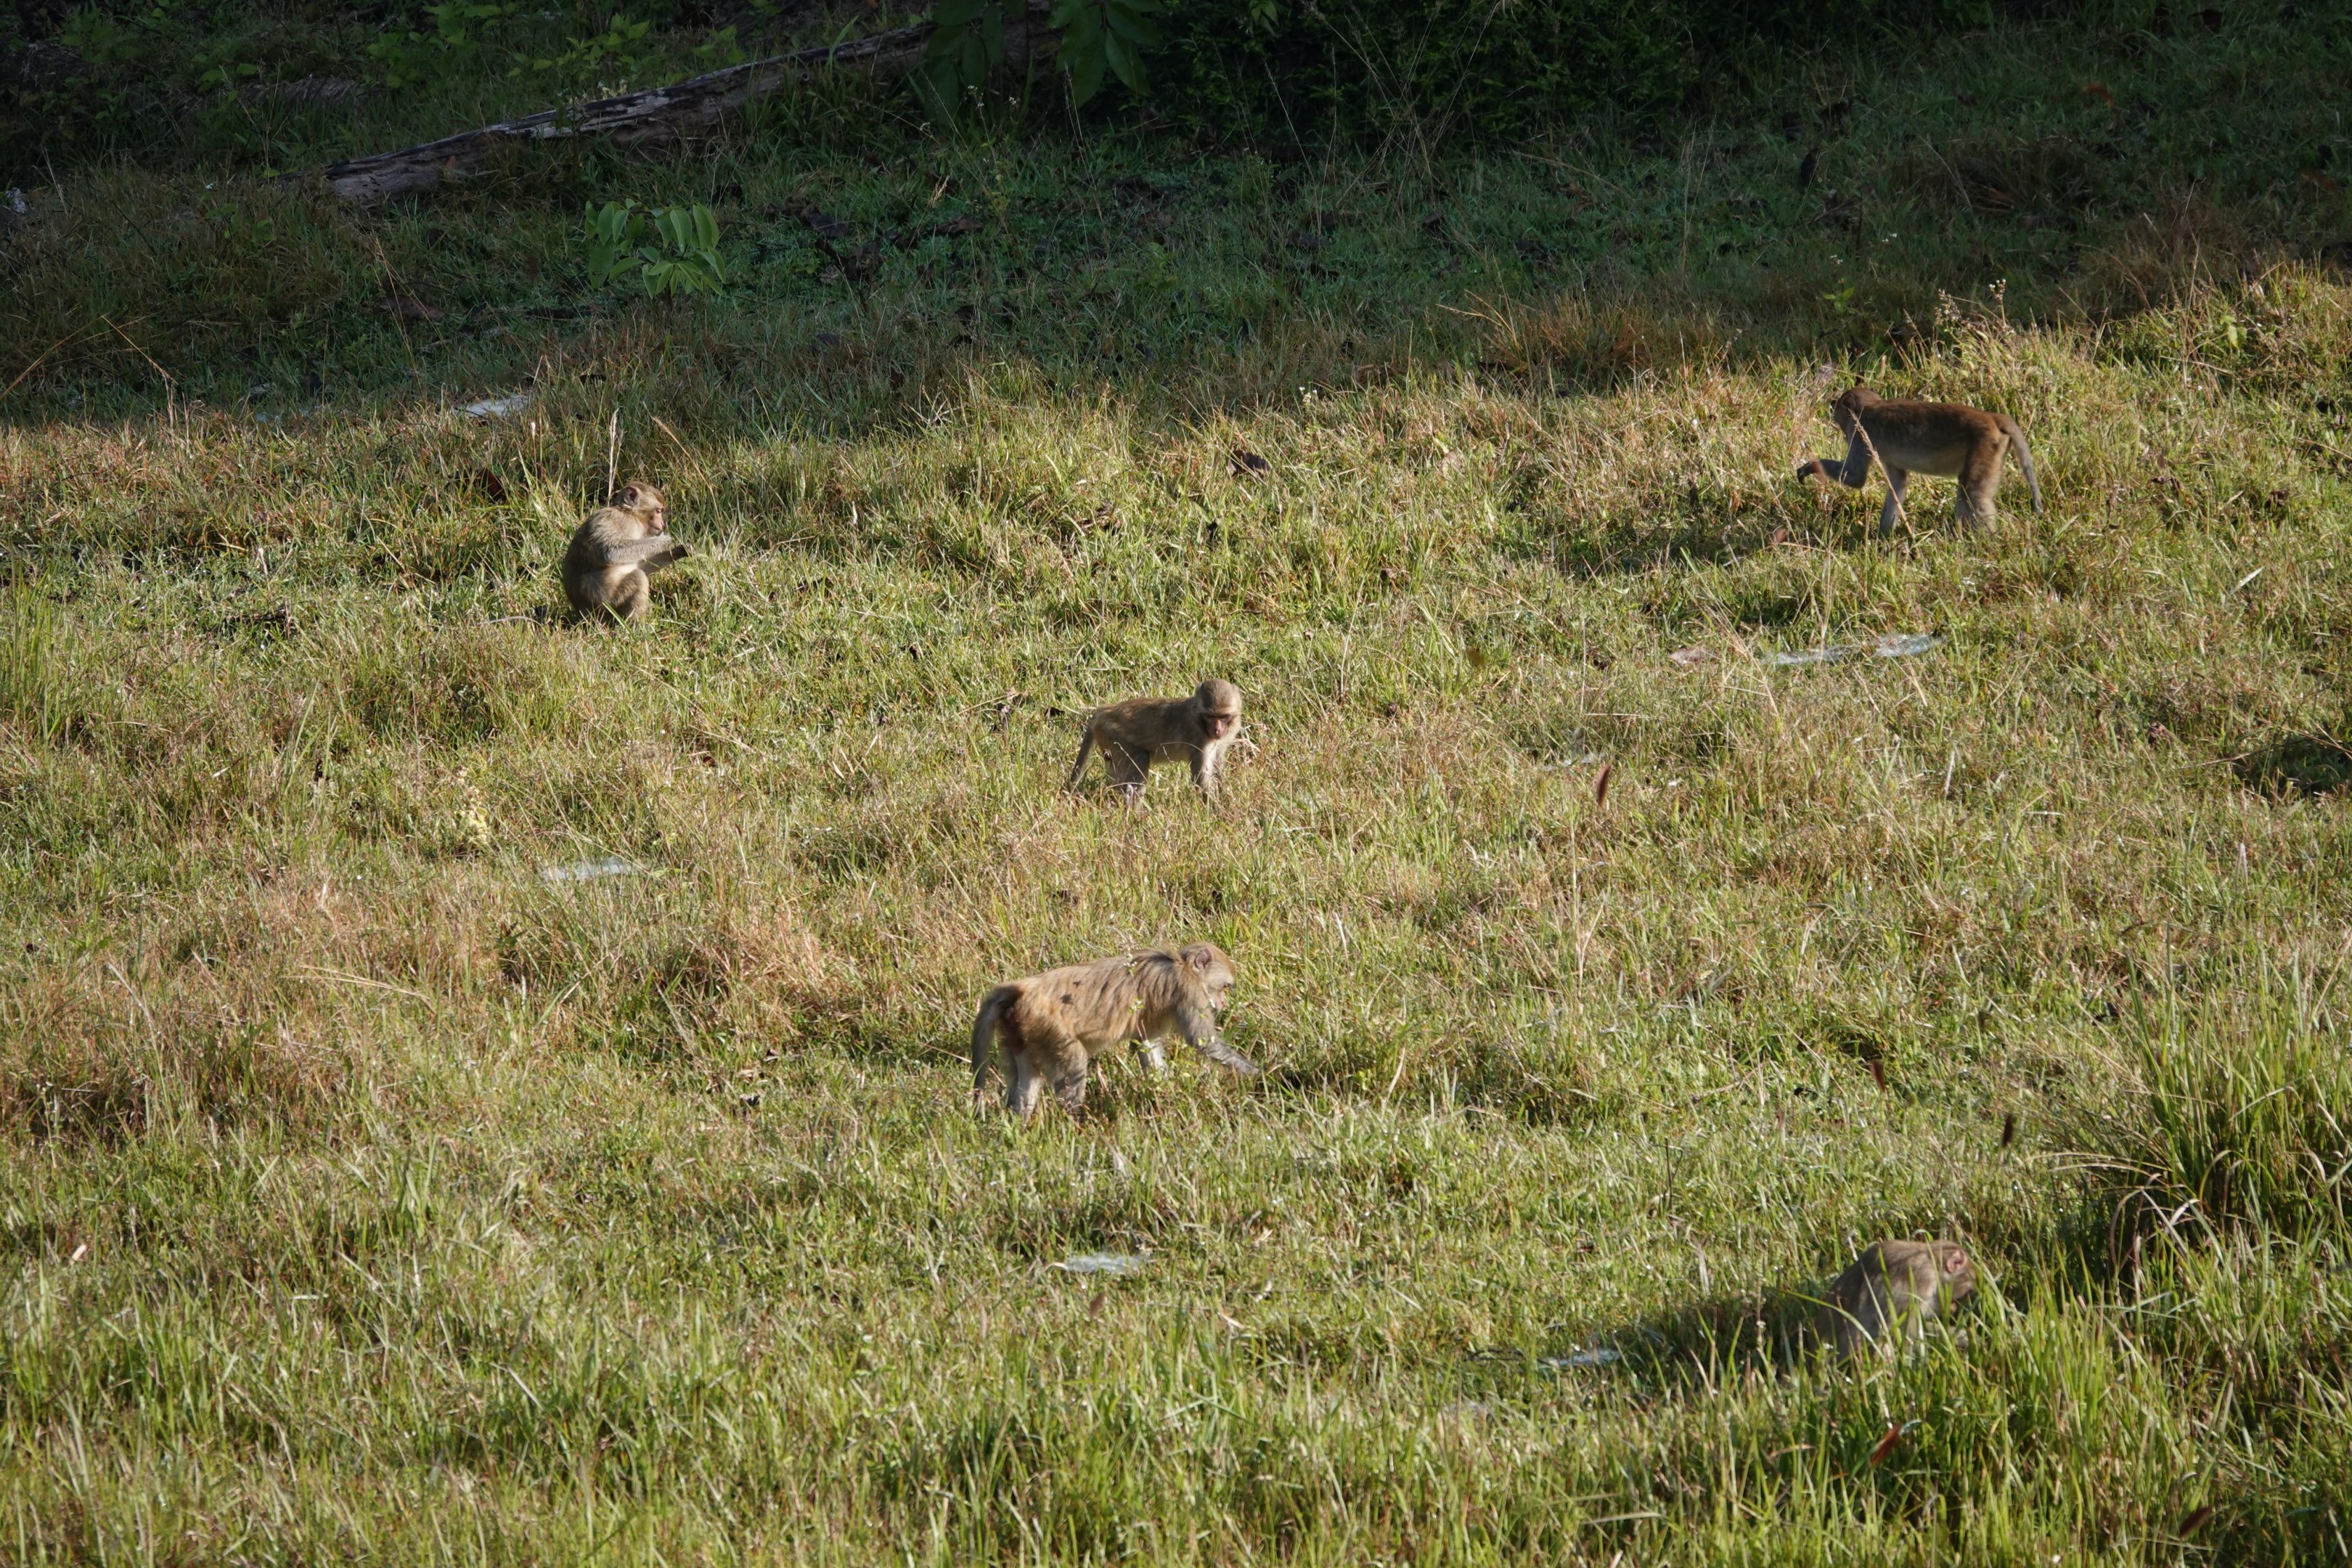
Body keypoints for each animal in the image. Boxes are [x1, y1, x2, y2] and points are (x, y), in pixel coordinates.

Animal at [562, 479, 689, 621]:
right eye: (658, 511)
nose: (662, 524)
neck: (631, 514)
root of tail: (584, 614)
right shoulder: (615, 519)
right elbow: (611, 553)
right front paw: (664, 541)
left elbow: (640, 565)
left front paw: (680, 551)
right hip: (608, 606)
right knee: (638, 577)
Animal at [969, 943, 1258, 1118]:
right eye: (1225, 987)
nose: (1223, 1003)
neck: (1182, 965)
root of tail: (1021, 990)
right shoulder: (1188, 991)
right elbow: (1202, 1042)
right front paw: (1261, 1075)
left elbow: (1146, 1044)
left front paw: (1166, 1093)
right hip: (1048, 1028)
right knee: (1074, 1063)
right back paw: (1073, 1121)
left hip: (1020, 1032)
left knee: (1026, 1079)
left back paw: (1020, 1120)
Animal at [1065, 680, 1243, 801]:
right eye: (1210, 716)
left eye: (1223, 716)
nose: (1217, 730)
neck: (1200, 720)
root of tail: (1104, 712)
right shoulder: (1198, 738)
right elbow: (1200, 778)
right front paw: (1217, 812)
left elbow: (1217, 764)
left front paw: (1224, 797)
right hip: (1116, 737)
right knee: (1140, 763)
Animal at [1796, 384, 2043, 535]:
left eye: (1842, 424)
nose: (1844, 436)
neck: (1870, 407)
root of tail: (1993, 417)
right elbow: (1898, 484)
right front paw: (1882, 536)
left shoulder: (1860, 434)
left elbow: (1855, 478)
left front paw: (1812, 466)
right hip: (1992, 447)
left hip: (1984, 444)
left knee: (1972, 492)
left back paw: (1983, 542)